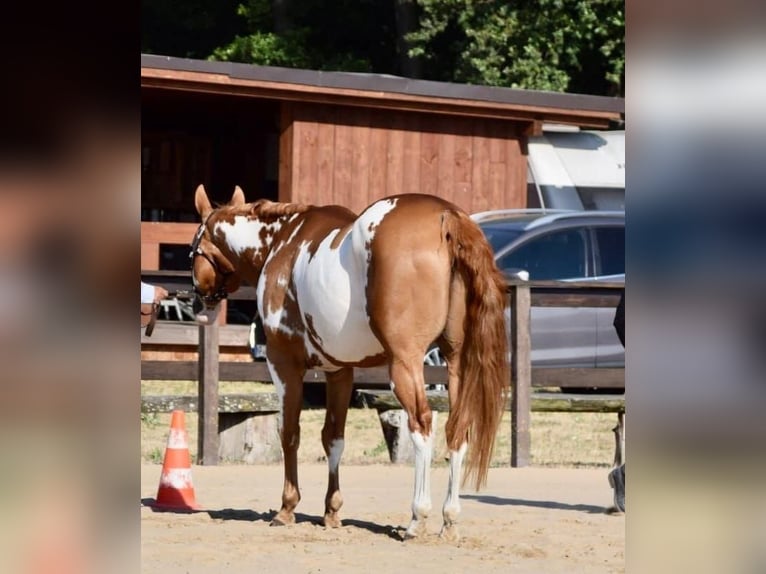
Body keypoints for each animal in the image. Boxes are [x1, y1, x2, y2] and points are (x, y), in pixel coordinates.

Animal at [191, 187, 510, 544]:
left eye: (194, 247)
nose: (198, 297)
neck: (282, 242)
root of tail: (447, 215)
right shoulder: (340, 371)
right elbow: (333, 437)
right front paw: (331, 512)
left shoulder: (283, 363)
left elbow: (289, 432)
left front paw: (287, 508)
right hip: (456, 361)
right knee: (458, 428)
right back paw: (450, 519)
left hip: (405, 365)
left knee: (422, 426)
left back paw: (418, 517)